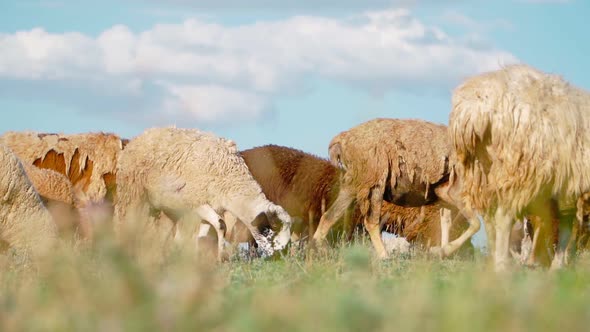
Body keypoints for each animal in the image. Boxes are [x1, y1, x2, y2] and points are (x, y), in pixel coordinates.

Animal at [114, 127, 294, 260]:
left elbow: (205, 234)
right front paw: (221, 258)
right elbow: (221, 225)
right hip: (132, 193)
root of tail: (140, 136)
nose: (278, 260)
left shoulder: (210, 206)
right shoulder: (195, 201)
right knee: (125, 222)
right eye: (267, 230)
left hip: (167, 208)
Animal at [312, 119, 484, 260]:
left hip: (353, 185)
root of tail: (340, 141)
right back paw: (384, 257)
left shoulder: (443, 195)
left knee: (328, 217)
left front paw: (440, 252)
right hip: (374, 182)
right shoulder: (453, 192)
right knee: (370, 221)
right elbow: (475, 224)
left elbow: (446, 223)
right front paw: (442, 251)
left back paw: (321, 251)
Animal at [450, 63, 588, 272]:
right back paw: (502, 266)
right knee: (503, 216)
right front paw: (558, 265)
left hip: (481, 171)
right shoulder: (571, 181)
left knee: (489, 219)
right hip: (519, 169)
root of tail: (474, 109)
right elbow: (567, 220)